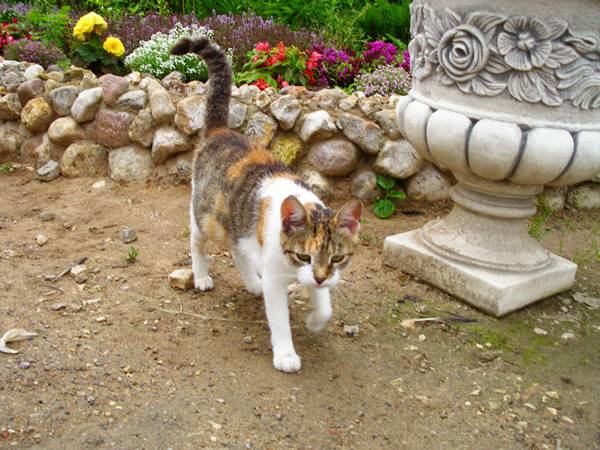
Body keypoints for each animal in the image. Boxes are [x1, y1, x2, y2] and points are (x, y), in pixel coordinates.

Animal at [171, 37, 364, 372]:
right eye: (304, 255)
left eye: (337, 258)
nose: (319, 276)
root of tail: (220, 130)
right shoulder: (277, 276)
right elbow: (279, 319)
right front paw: (286, 354)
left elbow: (324, 304)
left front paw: (315, 320)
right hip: (207, 216)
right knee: (197, 240)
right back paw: (202, 276)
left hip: (237, 224)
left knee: (238, 250)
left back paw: (252, 282)